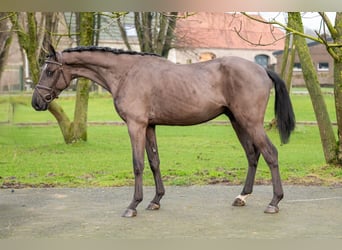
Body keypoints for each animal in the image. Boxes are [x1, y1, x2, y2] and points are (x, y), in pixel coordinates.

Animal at [32, 45, 294, 217]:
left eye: (50, 71)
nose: (37, 102)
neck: (126, 73)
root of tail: (262, 70)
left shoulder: (136, 125)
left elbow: (138, 164)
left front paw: (133, 205)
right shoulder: (149, 126)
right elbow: (154, 161)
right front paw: (155, 200)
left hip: (250, 122)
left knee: (270, 154)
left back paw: (274, 202)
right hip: (237, 121)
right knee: (252, 154)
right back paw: (242, 197)